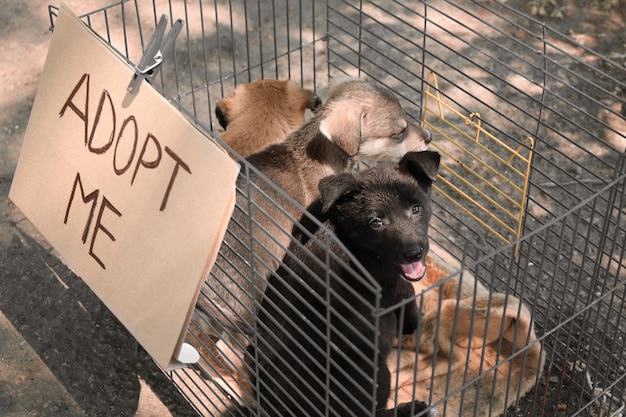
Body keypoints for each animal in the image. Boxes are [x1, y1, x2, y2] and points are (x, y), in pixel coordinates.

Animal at [235, 150, 438, 416]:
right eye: (376, 222)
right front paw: (415, 321)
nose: (414, 253)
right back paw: (413, 408)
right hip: (372, 372)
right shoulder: (391, 284)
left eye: (416, 208)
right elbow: (409, 291)